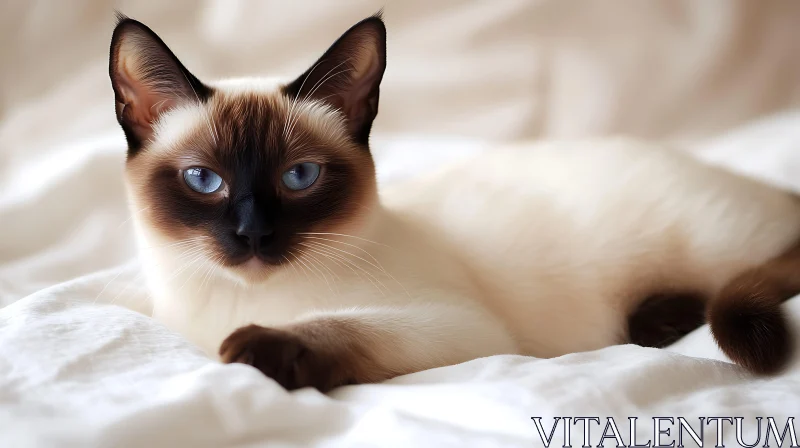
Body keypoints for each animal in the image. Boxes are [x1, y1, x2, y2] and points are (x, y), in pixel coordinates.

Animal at [111, 13, 800, 392]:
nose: (253, 235)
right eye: (205, 181)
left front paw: (258, 351)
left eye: (299, 177)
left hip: (710, 243)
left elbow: (338, 324)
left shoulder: (459, 327)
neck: (236, 301)